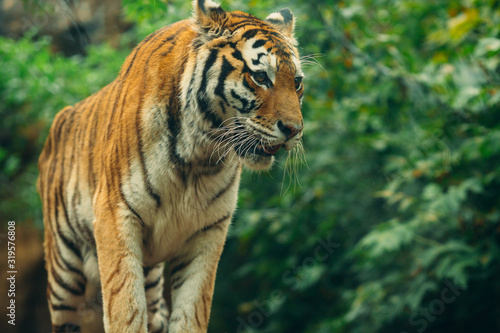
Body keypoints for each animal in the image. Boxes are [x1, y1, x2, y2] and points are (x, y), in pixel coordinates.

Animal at [37, 1, 302, 330]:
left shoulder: (207, 231)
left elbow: (192, 312)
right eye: (261, 77)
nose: (294, 130)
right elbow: (125, 308)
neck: (200, 156)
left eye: (297, 82)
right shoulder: (115, 215)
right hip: (64, 269)